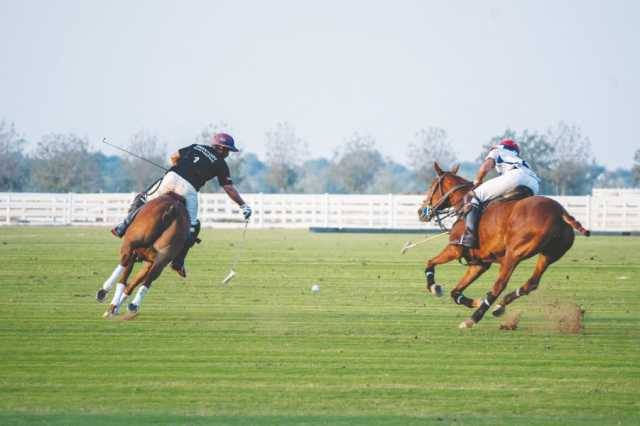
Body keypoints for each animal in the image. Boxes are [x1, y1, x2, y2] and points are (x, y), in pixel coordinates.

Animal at [416, 163, 592, 330]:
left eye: (432, 186)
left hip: (514, 253)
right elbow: (455, 292)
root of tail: (561, 212)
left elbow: (430, 263)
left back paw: (473, 319)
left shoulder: (455, 249)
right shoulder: (479, 263)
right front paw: (476, 301)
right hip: (549, 255)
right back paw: (499, 306)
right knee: (531, 283)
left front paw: (434, 287)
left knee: (499, 285)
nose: (420, 211)